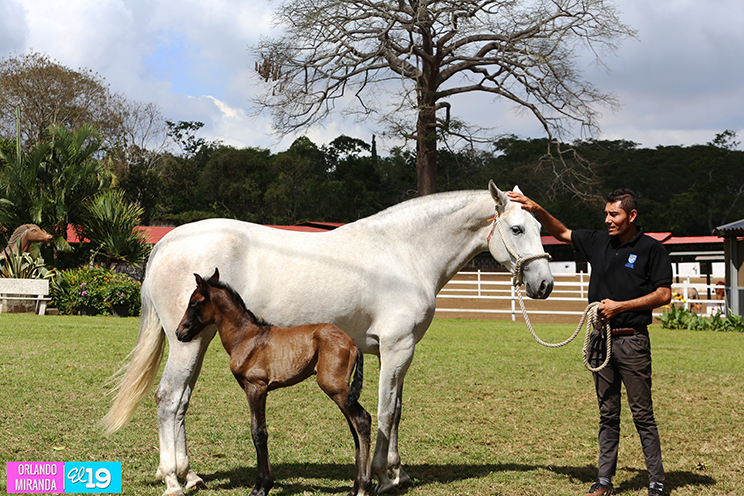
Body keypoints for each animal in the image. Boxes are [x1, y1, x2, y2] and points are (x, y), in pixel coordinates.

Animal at [175, 268, 372, 496]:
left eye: (194, 303)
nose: (179, 333)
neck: (245, 337)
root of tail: (352, 343)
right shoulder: (254, 389)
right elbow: (259, 431)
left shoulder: (256, 387)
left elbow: (258, 433)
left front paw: (261, 488)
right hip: (343, 392)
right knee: (355, 426)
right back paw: (355, 487)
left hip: (335, 387)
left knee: (361, 420)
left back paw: (363, 487)